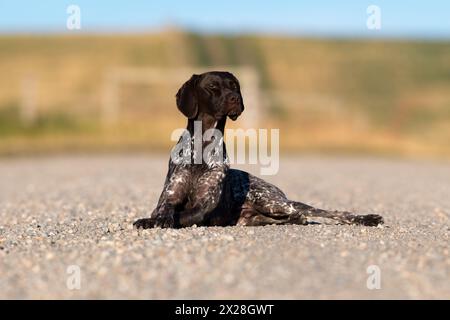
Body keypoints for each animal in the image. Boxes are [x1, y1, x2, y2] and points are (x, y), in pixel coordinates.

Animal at [133, 71, 384, 229]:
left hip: (272, 201)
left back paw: (367, 218)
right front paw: (150, 220)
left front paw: (155, 221)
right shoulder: (169, 196)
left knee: (317, 212)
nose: (234, 98)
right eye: (212, 87)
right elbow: (164, 211)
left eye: (234, 86)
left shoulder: (203, 206)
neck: (203, 146)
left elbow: (183, 216)